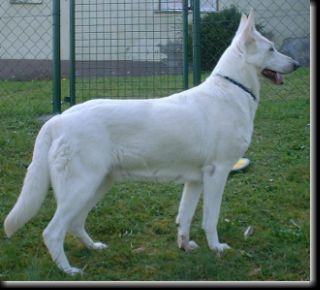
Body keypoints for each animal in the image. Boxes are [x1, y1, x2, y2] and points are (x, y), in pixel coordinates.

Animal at [4, 8, 300, 274]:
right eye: (271, 49)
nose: (297, 65)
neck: (233, 88)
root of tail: (59, 119)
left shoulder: (195, 181)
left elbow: (185, 218)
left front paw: (185, 246)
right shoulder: (217, 174)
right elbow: (210, 219)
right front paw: (216, 248)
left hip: (96, 185)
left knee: (75, 223)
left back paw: (93, 248)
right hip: (81, 187)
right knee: (52, 231)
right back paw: (69, 270)